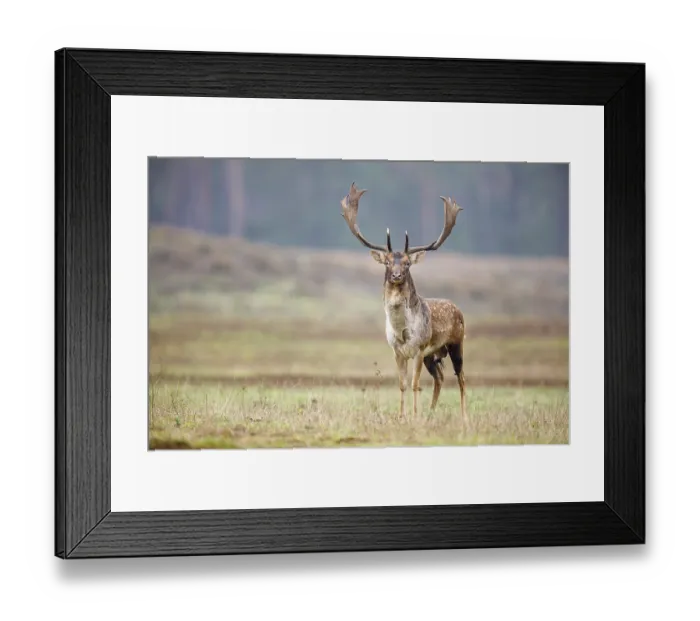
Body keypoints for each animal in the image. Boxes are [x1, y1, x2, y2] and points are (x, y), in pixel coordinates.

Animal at [340, 182, 467, 421]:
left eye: (407, 263)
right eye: (388, 262)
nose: (397, 275)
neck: (402, 330)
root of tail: (459, 310)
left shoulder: (419, 347)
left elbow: (415, 384)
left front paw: (414, 416)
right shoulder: (397, 351)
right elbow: (402, 384)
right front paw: (402, 416)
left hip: (456, 343)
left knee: (461, 377)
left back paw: (464, 417)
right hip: (433, 355)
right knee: (440, 377)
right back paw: (431, 413)